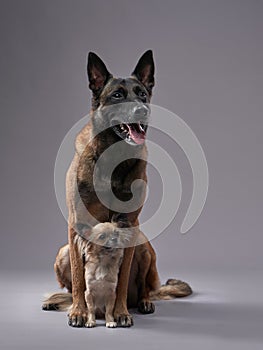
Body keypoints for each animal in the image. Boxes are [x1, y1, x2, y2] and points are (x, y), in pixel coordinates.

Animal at [42, 50, 193, 326]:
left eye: (142, 94)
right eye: (117, 96)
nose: (141, 110)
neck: (113, 157)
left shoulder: (129, 225)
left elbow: (120, 280)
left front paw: (120, 312)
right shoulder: (77, 225)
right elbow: (79, 280)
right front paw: (79, 311)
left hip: (143, 246)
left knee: (146, 289)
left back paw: (142, 302)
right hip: (63, 251)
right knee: (71, 287)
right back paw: (62, 302)